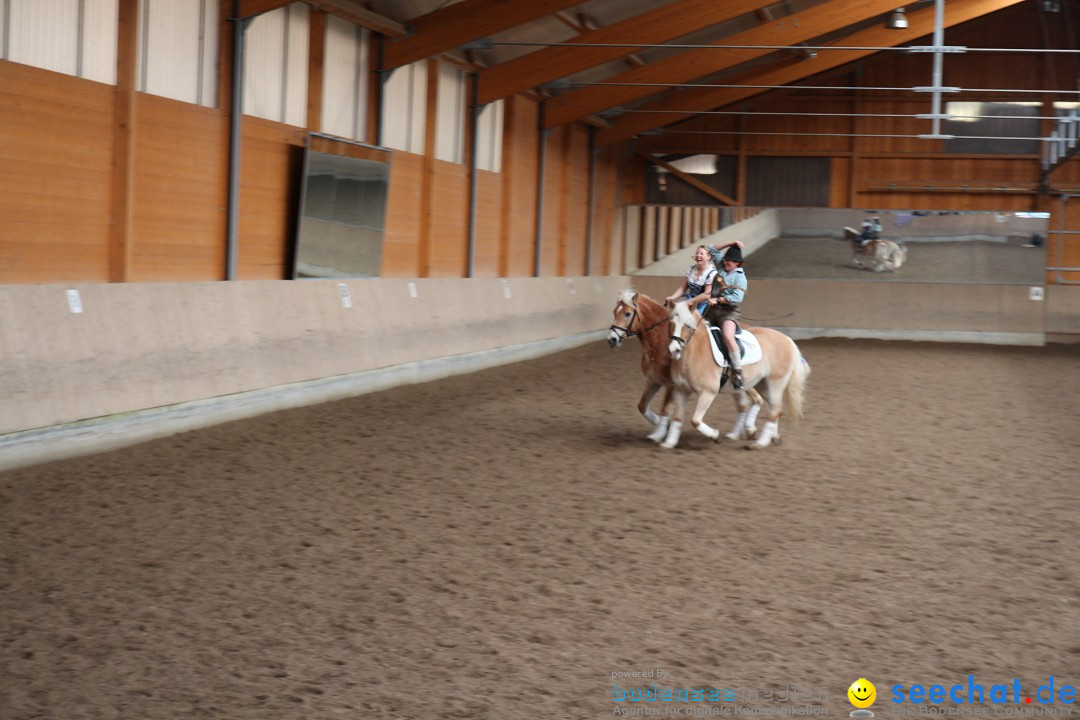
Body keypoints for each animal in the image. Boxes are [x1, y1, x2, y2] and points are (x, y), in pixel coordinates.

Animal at [609, 289, 768, 442]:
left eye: (628, 313)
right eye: (614, 311)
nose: (612, 339)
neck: (659, 342)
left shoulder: (671, 385)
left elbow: (665, 409)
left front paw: (660, 434)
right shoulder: (653, 380)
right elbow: (642, 407)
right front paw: (663, 429)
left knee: (757, 399)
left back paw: (750, 429)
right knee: (744, 404)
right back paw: (739, 433)